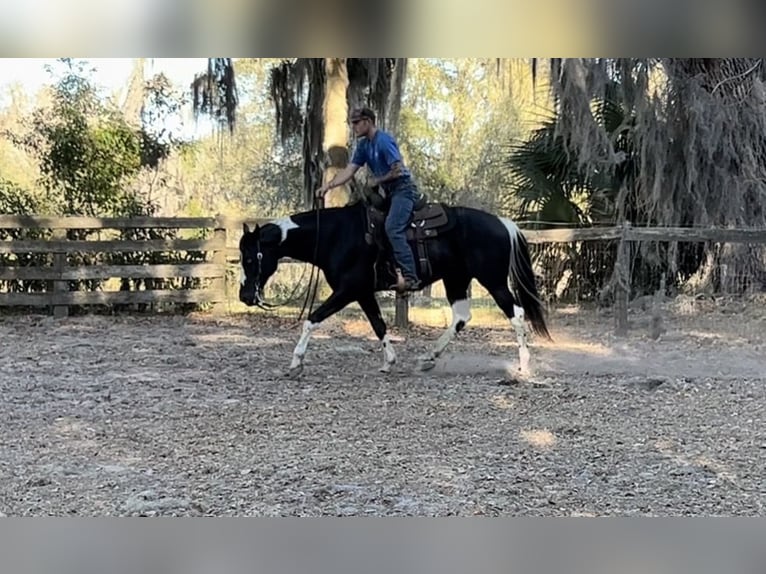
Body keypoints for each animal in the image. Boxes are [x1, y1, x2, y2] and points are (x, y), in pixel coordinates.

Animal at [238, 197, 551, 377]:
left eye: (251, 258)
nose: (244, 295)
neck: (334, 234)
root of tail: (504, 223)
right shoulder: (363, 292)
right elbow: (379, 325)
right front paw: (389, 361)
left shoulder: (347, 290)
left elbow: (312, 318)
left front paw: (296, 363)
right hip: (456, 279)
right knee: (461, 317)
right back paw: (428, 357)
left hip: (493, 281)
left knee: (516, 313)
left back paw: (524, 365)